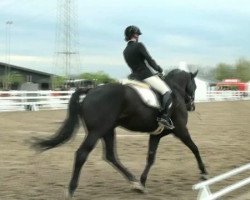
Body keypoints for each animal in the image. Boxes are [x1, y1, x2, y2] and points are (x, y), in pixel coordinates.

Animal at [31, 69, 208, 198]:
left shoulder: (156, 135)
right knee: (82, 154)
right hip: (97, 131)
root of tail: (91, 90)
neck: (175, 91)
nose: (192, 106)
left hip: (108, 131)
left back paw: (134, 182)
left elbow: (150, 158)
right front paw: (204, 173)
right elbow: (195, 148)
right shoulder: (181, 130)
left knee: (110, 156)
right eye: (194, 85)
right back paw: (71, 190)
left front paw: (142, 182)